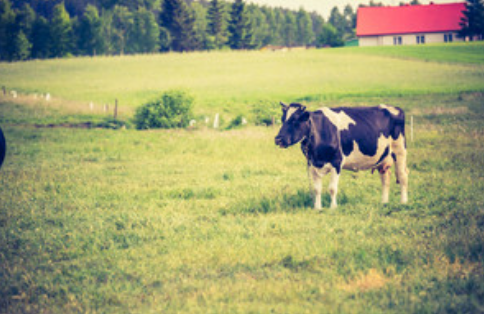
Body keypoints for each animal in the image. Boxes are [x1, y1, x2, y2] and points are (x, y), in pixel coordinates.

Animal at [274, 103, 406, 210]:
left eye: (295, 121)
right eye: (283, 120)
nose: (278, 139)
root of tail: (395, 108)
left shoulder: (336, 162)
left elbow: (332, 188)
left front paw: (333, 207)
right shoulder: (312, 164)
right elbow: (317, 189)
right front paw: (317, 208)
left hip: (400, 150)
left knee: (402, 175)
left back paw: (403, 202)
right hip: (383, 158)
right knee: (385, 178)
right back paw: (384, 202)